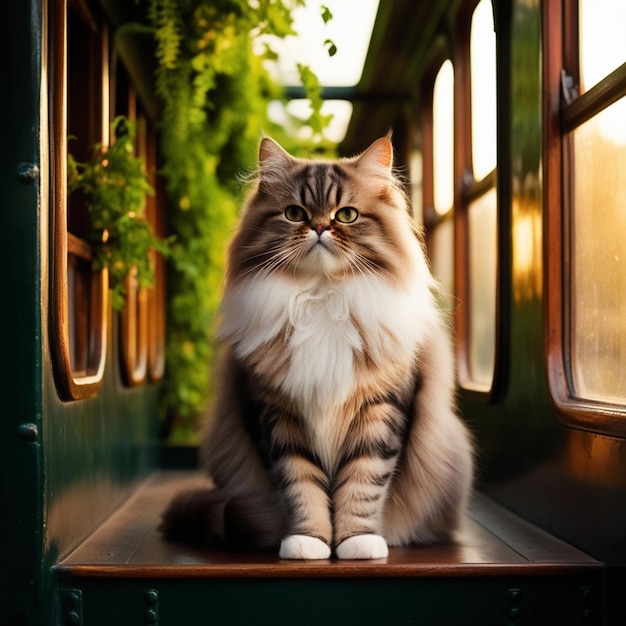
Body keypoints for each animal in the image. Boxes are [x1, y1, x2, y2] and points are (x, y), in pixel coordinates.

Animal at [161, 134, 472, 560]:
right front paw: (308, 542)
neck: (323, 298)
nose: (321, 227)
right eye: (295, 213)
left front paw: (358, 542)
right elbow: (301, 487)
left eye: (347, 215)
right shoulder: (277, 416)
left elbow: (363, 484)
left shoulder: (381, 409)